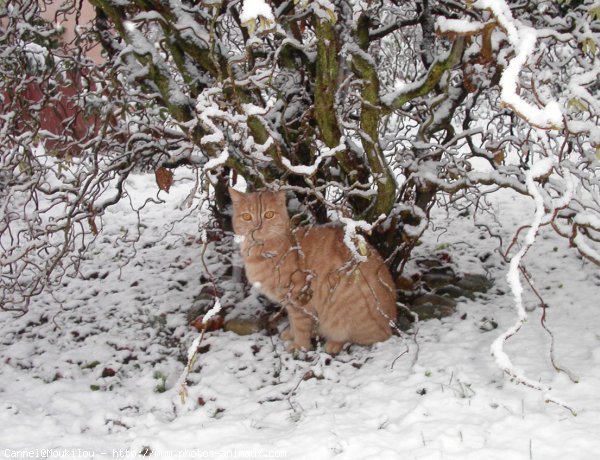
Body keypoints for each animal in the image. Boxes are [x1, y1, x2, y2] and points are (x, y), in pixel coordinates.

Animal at [230, 188, 398, 356]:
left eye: (269, 215)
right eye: (246, 217)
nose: (256, 227)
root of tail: (391, 321)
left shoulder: (298, 297)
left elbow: (300, 325)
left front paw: (299, 345)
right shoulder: (289, 302)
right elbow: (292, 320)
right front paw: (290, 334)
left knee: (372, 337)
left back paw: (333, 343)